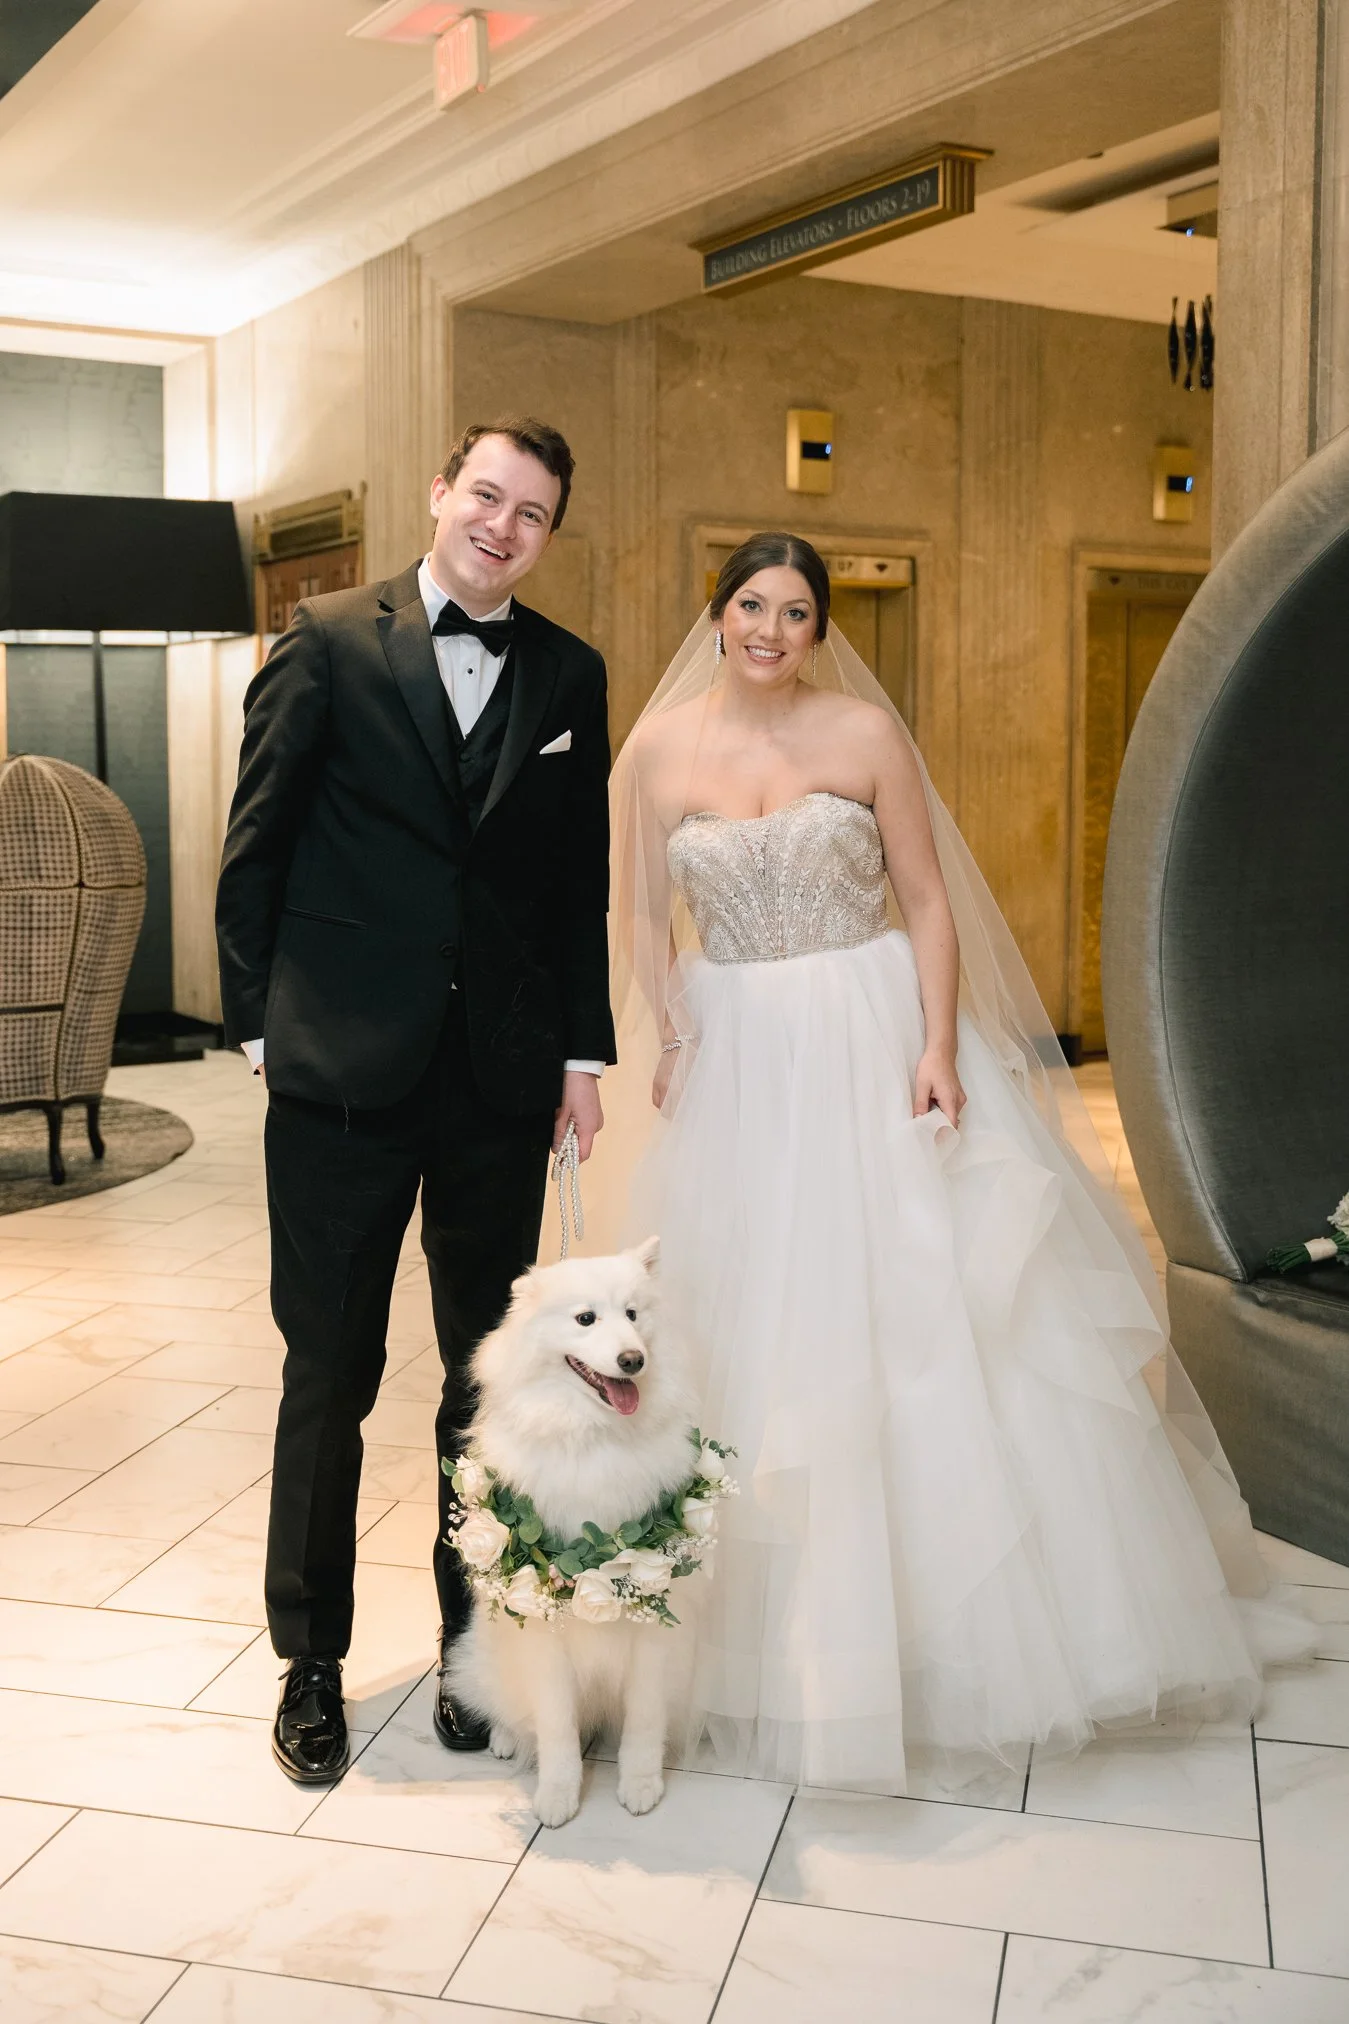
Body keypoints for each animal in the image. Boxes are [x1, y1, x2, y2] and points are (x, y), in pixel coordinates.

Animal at [448, 1238, 705, 1827]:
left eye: (632, 1314)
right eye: (586, 1319)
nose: (633, 1360)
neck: (595, 1435)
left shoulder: (654, 1623)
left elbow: (644, 1721)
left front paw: (640, 1785)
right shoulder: (542, 1627)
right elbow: (557, 1728)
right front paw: (559, 1796)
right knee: (503, 1703)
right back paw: (503, 1737)